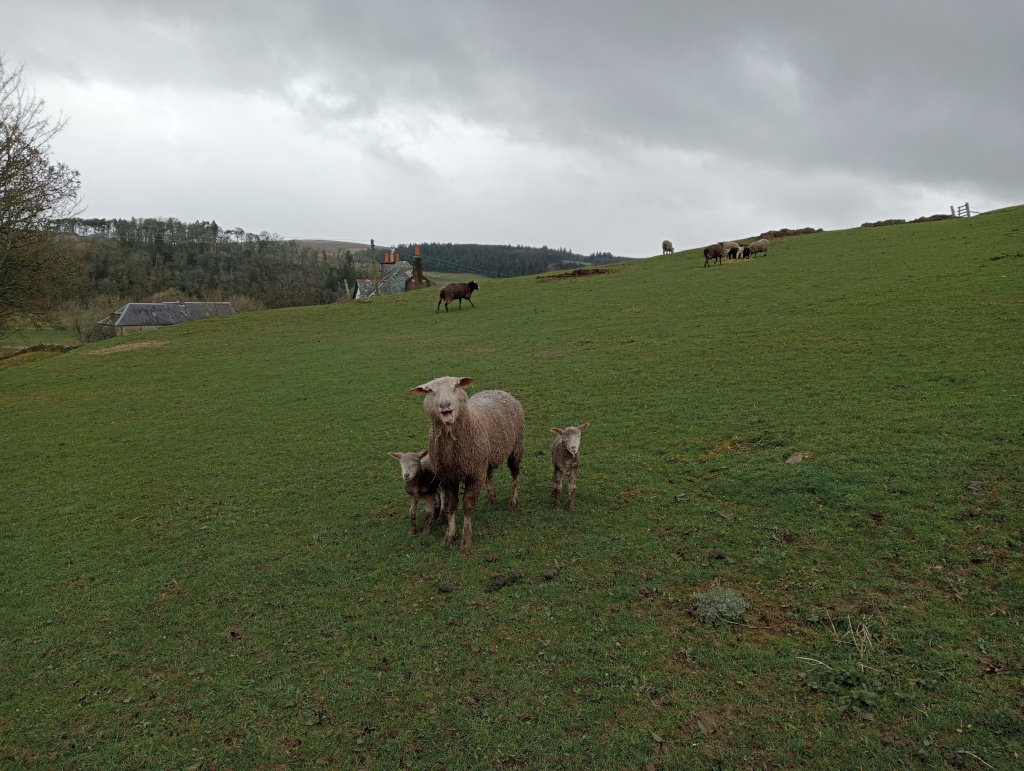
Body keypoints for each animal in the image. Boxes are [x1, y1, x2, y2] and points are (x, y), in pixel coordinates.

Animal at [409, 376, 524, 554]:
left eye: (456, 386)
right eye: (429, 390)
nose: (445, 405)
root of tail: (498, 390)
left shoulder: (474, 475)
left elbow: (467, 505)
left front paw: (466, 540)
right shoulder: (449, 477)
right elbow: (452, 505)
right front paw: (449, 536)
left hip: (516, 447)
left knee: (515, 474)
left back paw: (512, 501)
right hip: (485, 457)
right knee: (489, 473)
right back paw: (492, 498)